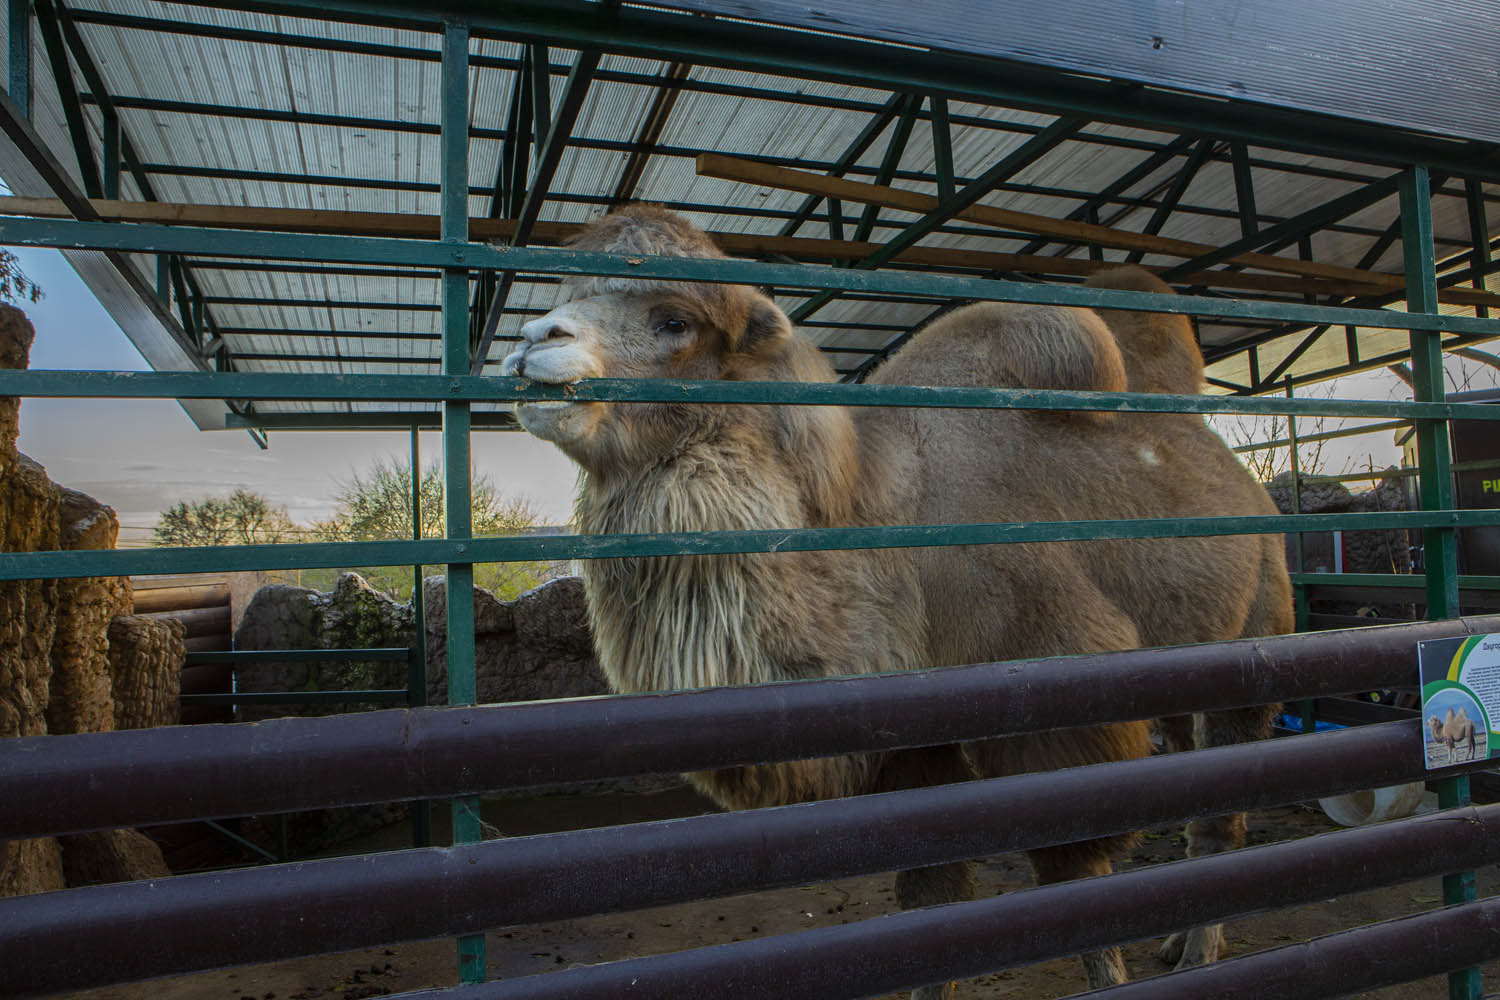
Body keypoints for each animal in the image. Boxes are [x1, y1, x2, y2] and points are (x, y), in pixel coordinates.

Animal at [501, 203, 1290, 995]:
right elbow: (929, 899)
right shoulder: (908, 744)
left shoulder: (1065, 704)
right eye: (568, 293)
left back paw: (1198, 951)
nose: (535, 341)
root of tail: (1250, 489)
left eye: (674, 320)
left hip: (1256, 640)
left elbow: (1073, 881)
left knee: (1221, 814)